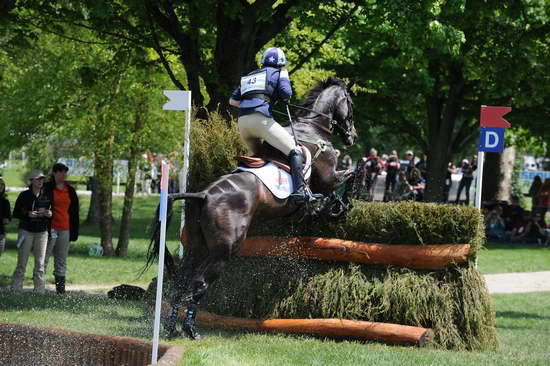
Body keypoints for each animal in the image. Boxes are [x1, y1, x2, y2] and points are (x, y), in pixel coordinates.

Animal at [147, 77, 358, 340]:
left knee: (180, 283)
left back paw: (169, 327)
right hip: (223, 250)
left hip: (197, 246)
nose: (352, 136)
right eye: (350, 104)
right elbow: (353, 174)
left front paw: (330, 207)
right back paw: (191, 329)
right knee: (200, 284)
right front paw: (342, 205)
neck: (313, 128)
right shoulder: (329, 177)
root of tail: (204, 195)